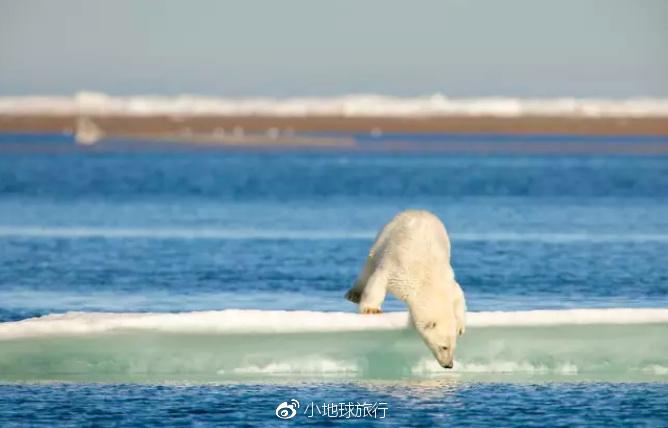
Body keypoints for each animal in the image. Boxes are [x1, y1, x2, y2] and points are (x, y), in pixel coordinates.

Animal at [345, 209, 466, 368]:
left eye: (454, 347)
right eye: (443, 347)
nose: (449, 365)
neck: (428, 281)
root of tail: (418, 210)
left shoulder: (448, 283)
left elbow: (459, 295)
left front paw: (460, 326)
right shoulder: (401, 272)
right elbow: (379, 280)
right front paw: (371, 309)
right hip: (385, 237)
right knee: (369, 265)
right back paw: (353, 294)